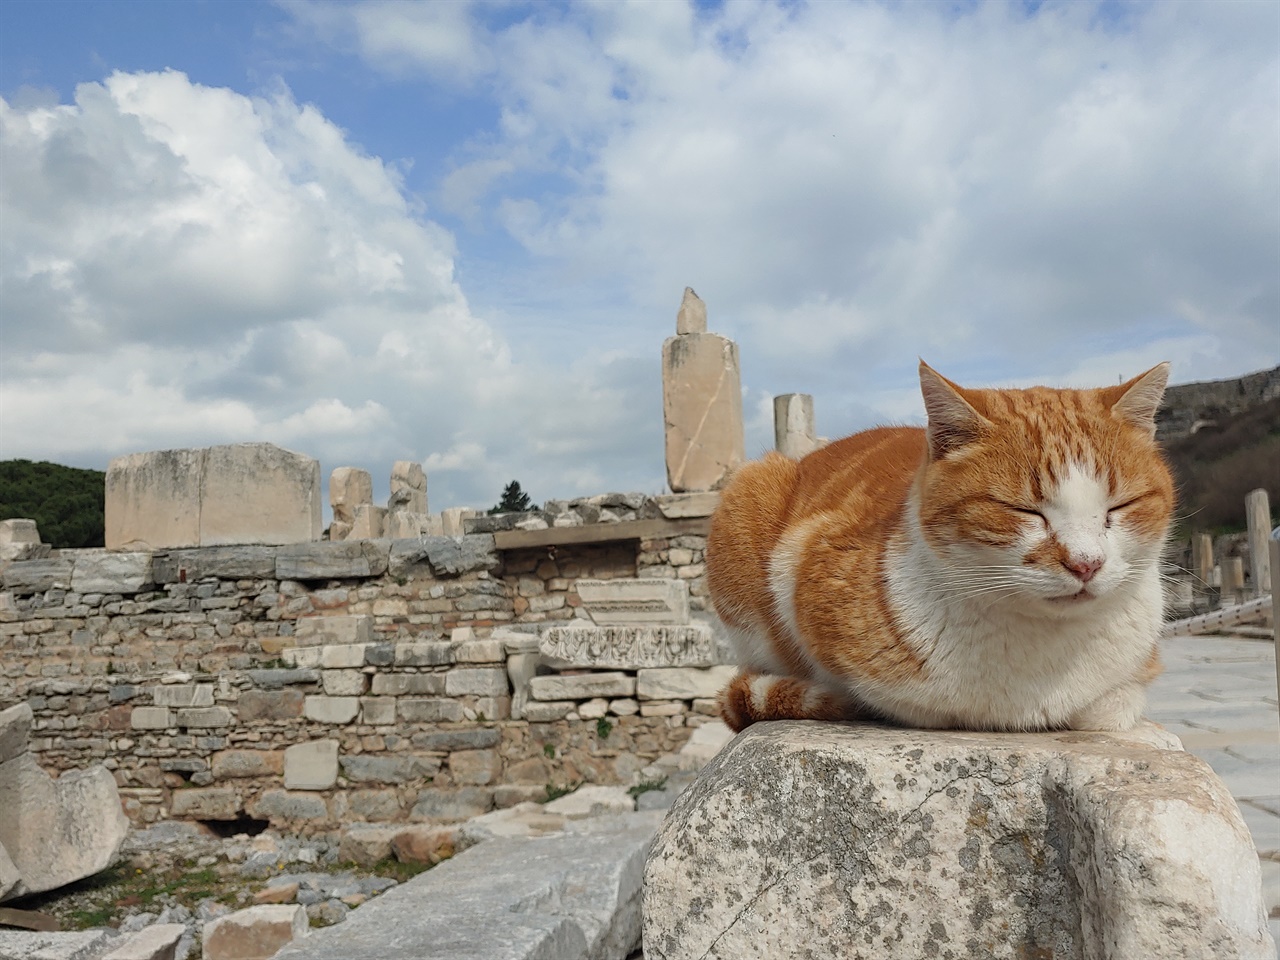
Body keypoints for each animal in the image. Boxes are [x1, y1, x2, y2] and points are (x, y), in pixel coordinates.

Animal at [706, 363, 1172, 732]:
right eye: (1024, 510)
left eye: (1120, 506)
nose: (1086, 564)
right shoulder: (806, 558)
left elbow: (1115, 705)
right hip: (749, 491)